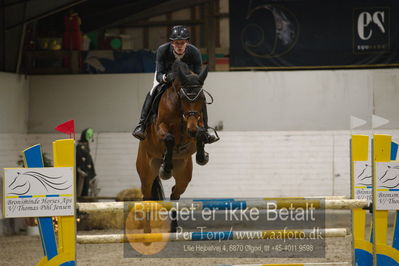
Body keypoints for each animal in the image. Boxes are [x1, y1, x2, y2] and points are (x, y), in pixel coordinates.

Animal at [137, 60, 209, 233]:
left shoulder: (197, 124)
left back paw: (174, 227)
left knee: (175, 194)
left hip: (184, 174)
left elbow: (201, 134)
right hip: (146, 172)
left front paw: (201, 156)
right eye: (183, 97)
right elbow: (169, 138)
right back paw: (147, 231)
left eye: (202, 97)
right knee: (147, 196)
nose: (191, 129)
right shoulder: (160, 128)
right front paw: (166, 168)